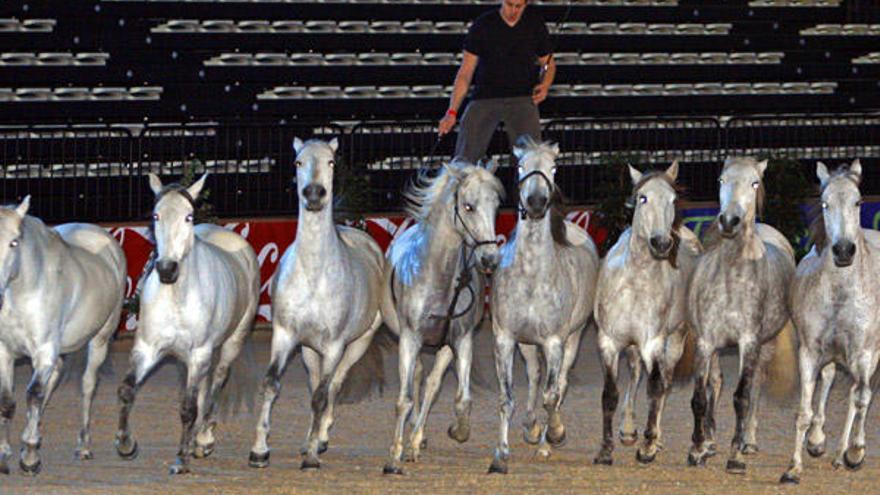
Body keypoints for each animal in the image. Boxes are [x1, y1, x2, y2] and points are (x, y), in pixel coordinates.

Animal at [0, 199, 127, 476]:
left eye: (14, 242)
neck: (25, 289)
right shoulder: (5, 352)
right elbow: (7, 401)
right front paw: (5, 454)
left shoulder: (44, 351)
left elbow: (33, 394)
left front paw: (30, 458)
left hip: (100, 340)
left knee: (87, 386)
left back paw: (83, 447)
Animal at [114, 174, 258, 476]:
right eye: (156, 215)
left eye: (189, 216)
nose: (167, 269)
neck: (177, 296)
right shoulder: (148, 349)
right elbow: (127, 390)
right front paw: (126, 445)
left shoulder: (199, 352)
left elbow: (189, 408)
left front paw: (181, 459)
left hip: (230, 343)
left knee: (217, 381)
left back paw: (203, 440)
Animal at [248, 138, 384, 470]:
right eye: (298, 161)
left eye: (332, 161)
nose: (313, 194)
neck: (313, 273)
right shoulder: (285, 335)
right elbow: (272, 384)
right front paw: (259, 451)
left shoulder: (334, 345)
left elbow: (323, 395)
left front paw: (311, 456)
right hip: (309, 350)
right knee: (315, 381)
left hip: (357, 343)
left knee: (333, 384)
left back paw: (319, 440)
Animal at [484, 138, 600, 474]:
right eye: (521, 165)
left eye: (554, 167)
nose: (536, 202)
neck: (532, 277)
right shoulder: (505, 339)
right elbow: (507, 397)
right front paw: (501, 455)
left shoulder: (553, 342)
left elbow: (552, 395)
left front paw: (555, 435)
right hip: (526, 344)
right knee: (535, 376)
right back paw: (532, 428)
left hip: (572, 340)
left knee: (558, 384)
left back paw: (547, 441)